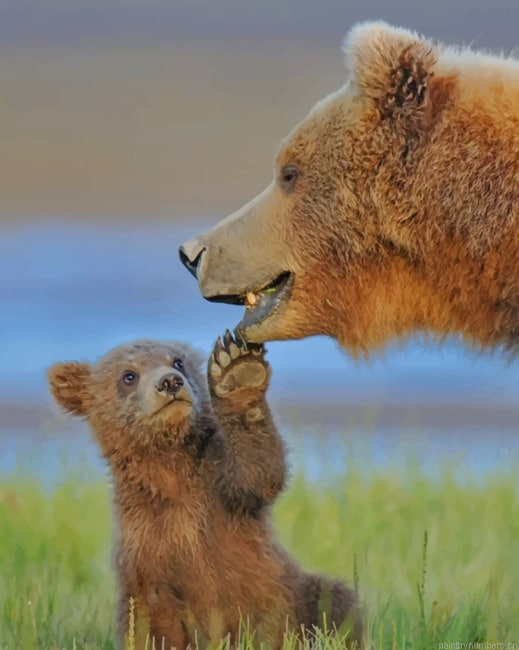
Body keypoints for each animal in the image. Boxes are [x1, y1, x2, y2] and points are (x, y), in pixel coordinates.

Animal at [47, 332, 363, 649]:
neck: (169, 468)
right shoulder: (145, 554)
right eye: (128, 375)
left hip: (297, 595)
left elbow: (257, 473)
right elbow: (150, 626)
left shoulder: (220, 489)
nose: (170, 382)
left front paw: (239, 373)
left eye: (177, 361)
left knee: (336, 601)